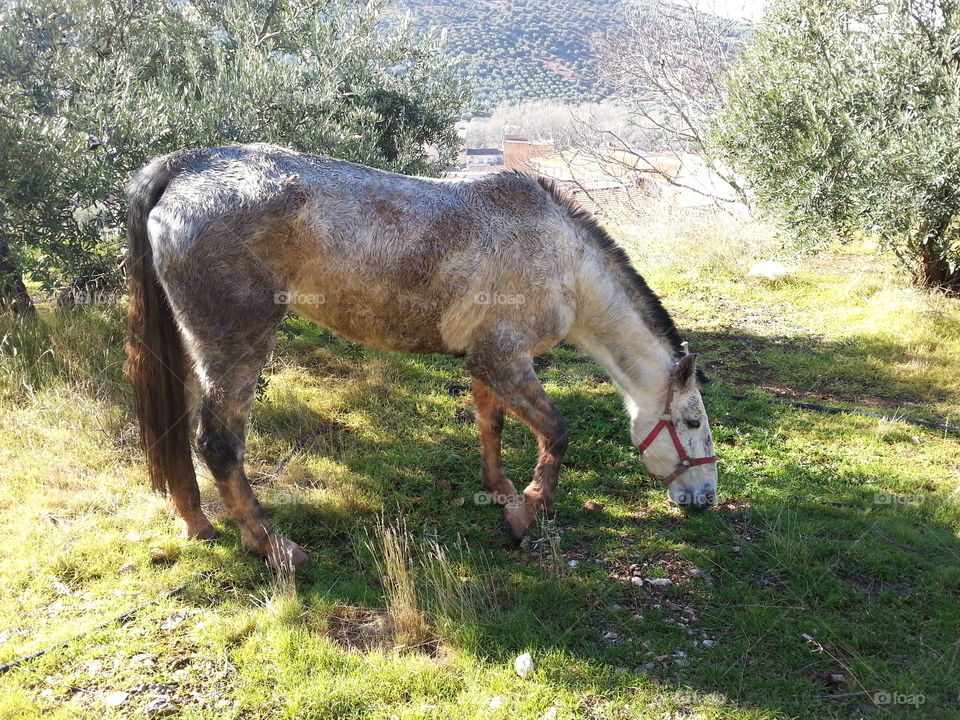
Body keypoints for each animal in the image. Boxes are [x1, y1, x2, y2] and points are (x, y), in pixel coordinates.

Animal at [125, 143, 718, 570]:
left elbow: (491, 424)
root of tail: (186, 166)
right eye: (692, 424)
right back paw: (272, 546)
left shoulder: (486, 361)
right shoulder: (506, 360)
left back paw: (198, 524)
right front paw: (527, 513)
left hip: (190, 349)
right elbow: (555, 432)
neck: (565, 261)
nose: (706, 498)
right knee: (218, 444)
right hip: (236, 347)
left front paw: (500, 491)